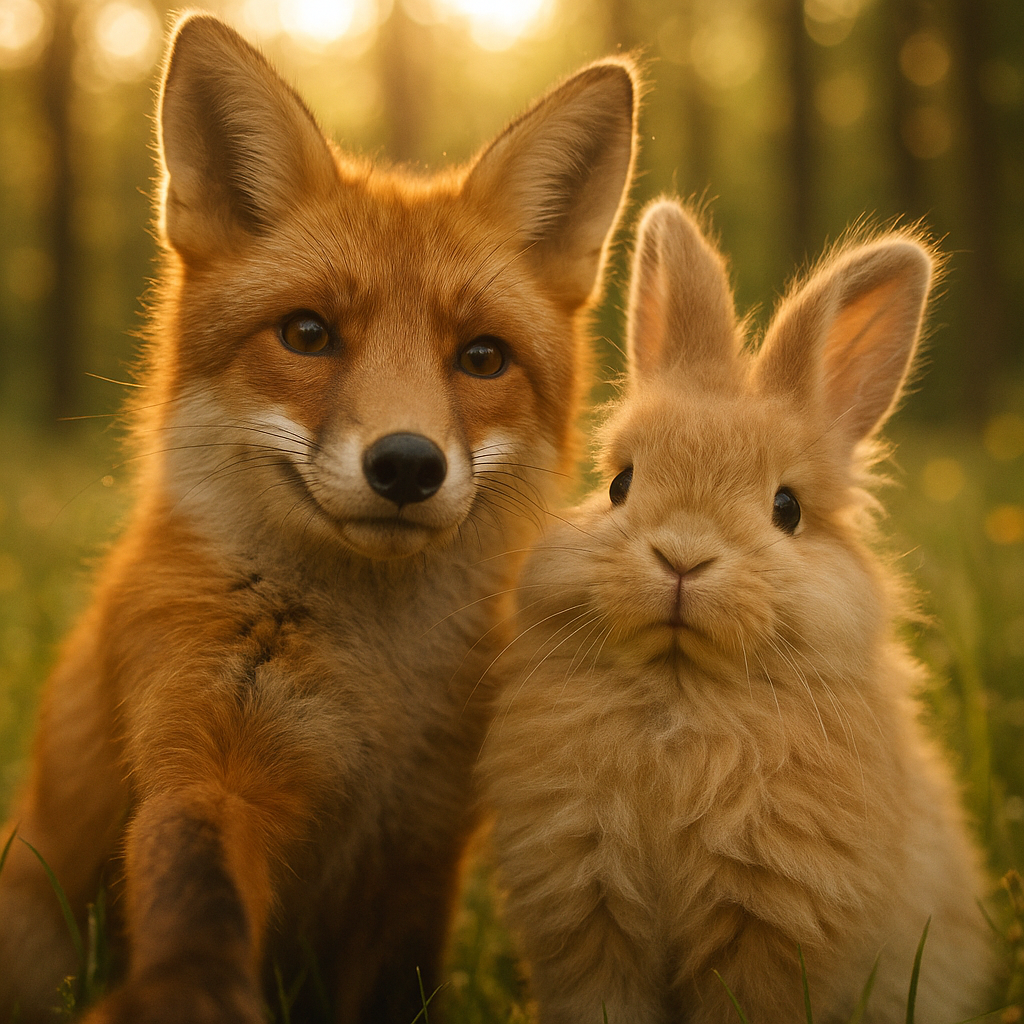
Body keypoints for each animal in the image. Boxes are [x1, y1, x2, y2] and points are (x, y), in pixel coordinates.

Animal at [0, 14, 637, 1024]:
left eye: (483, 357)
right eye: (306, 334)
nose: (408, 464)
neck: (370, 679)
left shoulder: (421, 838)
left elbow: (397, 985)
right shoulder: (200, 753)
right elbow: (196, 886)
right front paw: (188, 994)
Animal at [478, 199, 994, 1024]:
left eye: (787, 509)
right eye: (620, 484)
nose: (682, 558)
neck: (682, 693)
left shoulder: (768, 928)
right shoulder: (588, 914)